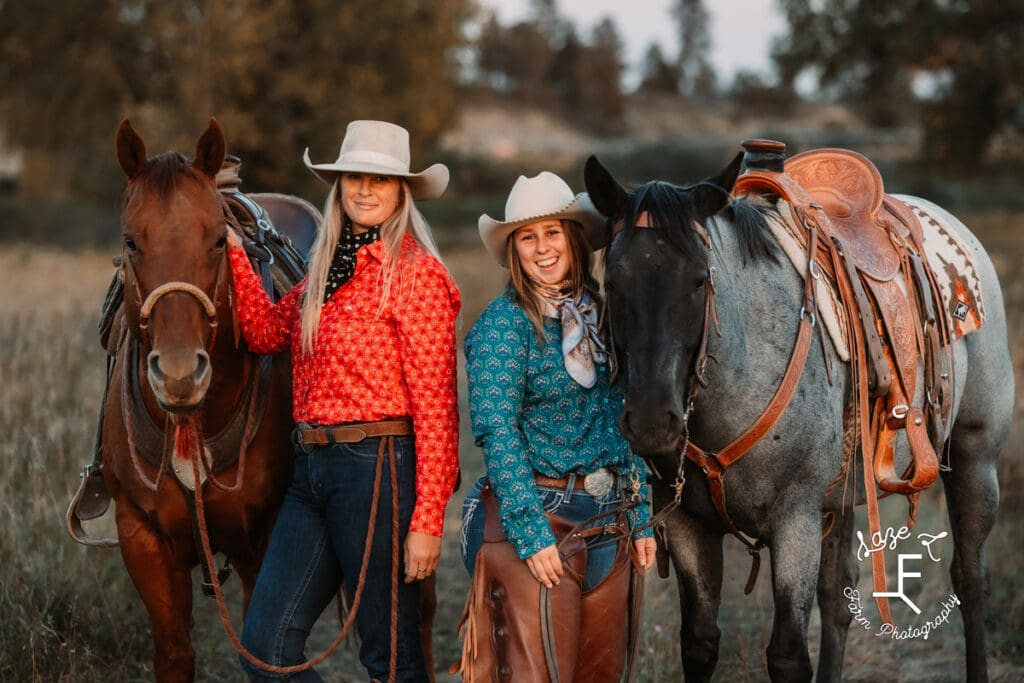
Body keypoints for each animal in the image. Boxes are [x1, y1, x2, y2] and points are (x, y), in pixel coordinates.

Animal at [103, 120, 294, 679]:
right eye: (131, 241)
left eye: (215, 240)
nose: (180, 374)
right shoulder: (142, 538)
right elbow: (174, 653)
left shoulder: (264, 539)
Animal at [585, 154, 1015, 683]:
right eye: (612, 280)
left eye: (699, 279)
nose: (651, 423)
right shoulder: (687, 523)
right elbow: (700, 643)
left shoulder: (796, 521)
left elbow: (788, 653)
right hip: (844, 495)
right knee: (838, 598)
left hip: (976, 459)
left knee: (970, 578)